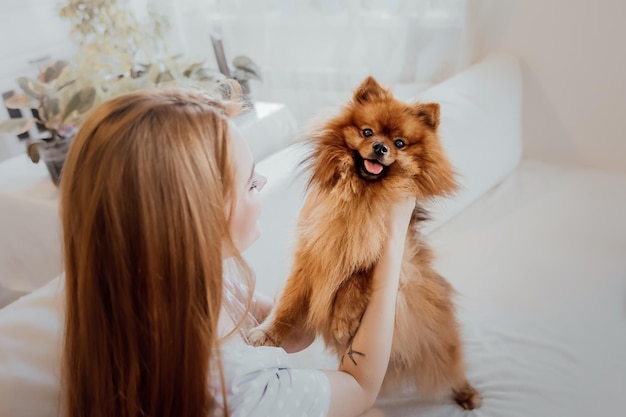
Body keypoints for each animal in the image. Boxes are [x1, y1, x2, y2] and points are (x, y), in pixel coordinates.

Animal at [246, 76, 480, 408]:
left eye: (399, 143)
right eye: (367, 132)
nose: (380, 147)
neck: (360, 196)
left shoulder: (390, 255)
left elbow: (355, 280)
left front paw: (343, 323)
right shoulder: (310, 256)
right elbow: (287, 307)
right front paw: (267, 335)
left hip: (441, 343)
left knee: (453, 367)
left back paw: (467, 393)